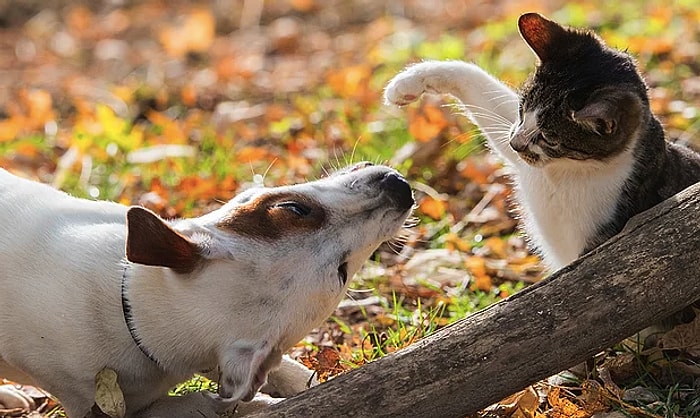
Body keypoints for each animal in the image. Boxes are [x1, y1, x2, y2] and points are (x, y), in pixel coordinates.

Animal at [382, 12, 700, 272]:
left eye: (550, 137)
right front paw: (407, 83)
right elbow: (480, 87)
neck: (562, 174)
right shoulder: (522, 154)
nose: (516, 143)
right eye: (523, 109)